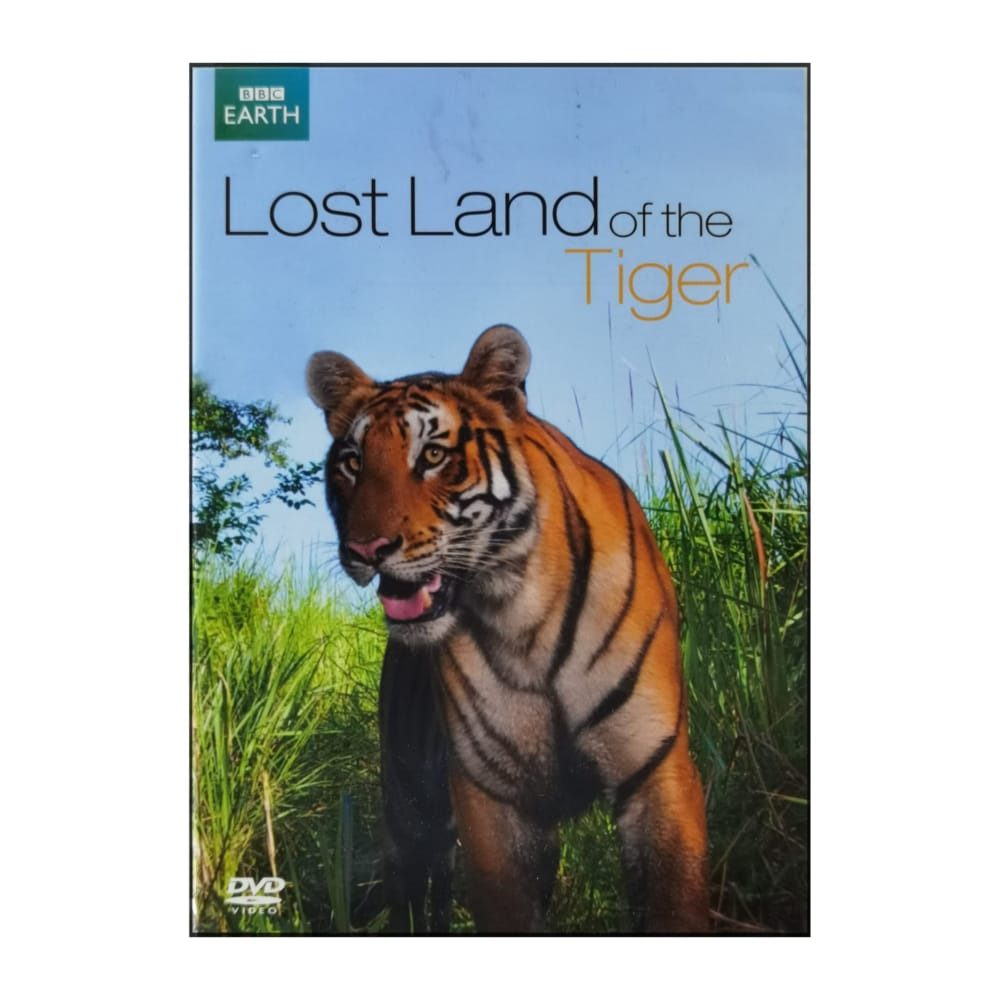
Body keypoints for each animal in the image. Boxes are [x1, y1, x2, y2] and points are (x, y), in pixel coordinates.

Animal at [306, 324, 708, 932]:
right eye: (352, 462)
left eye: (432, 455)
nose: (365, 549)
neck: (521, 617)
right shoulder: (487, 795)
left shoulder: (655, 773)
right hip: (409, 799)